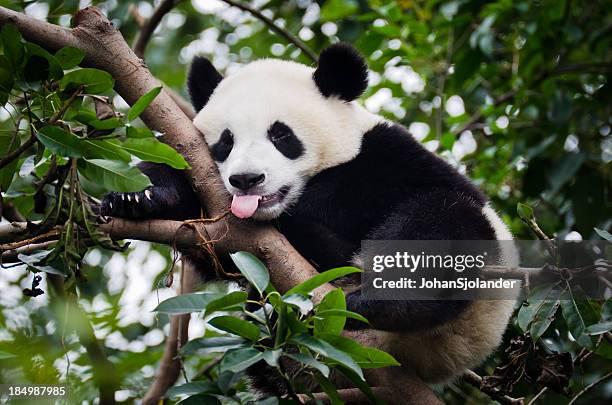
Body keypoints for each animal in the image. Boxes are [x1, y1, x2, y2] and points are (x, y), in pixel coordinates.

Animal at [100, 43, 516, 392]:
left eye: (281, 136)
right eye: (226, 142)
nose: (247, 180)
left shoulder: (389, 156)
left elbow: (370, 189)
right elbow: (206, 235)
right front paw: (137, 197)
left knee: (441, 223)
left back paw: (371, 302)